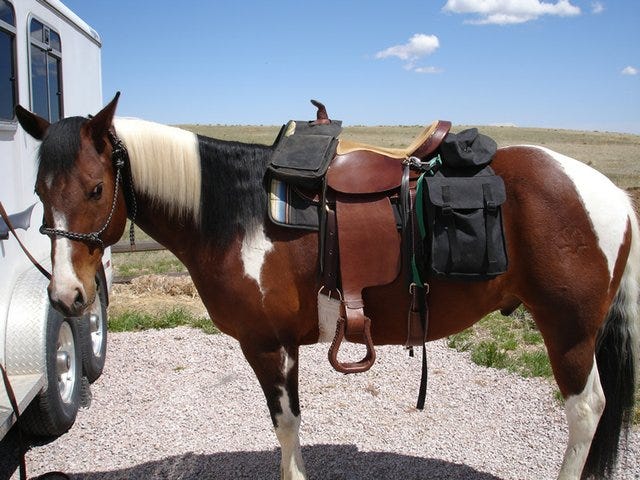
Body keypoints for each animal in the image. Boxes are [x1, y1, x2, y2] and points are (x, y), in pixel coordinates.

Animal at [15, 93, 638, 480]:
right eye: (40, 191)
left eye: (96, 189)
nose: (67, 296)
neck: (235, 214)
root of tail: (611, 192)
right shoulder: (282, 345)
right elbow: (288, 424)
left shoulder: (267, 345)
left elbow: (286, 425)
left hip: (569, 330)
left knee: (587, 410)